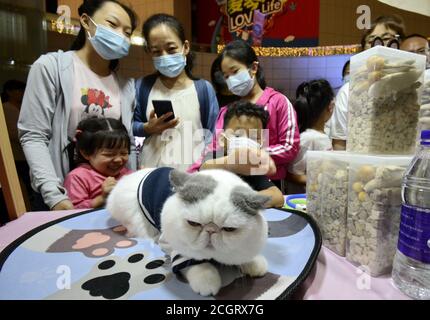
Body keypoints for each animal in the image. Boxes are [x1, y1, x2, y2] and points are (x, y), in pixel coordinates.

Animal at [106, 169, 268, 296]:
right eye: (194, 223)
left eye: (229, 229)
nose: (211, 230)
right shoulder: (175, 246)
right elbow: (196, 264)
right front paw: (207, 280)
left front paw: (254, 263)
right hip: (137, 218)